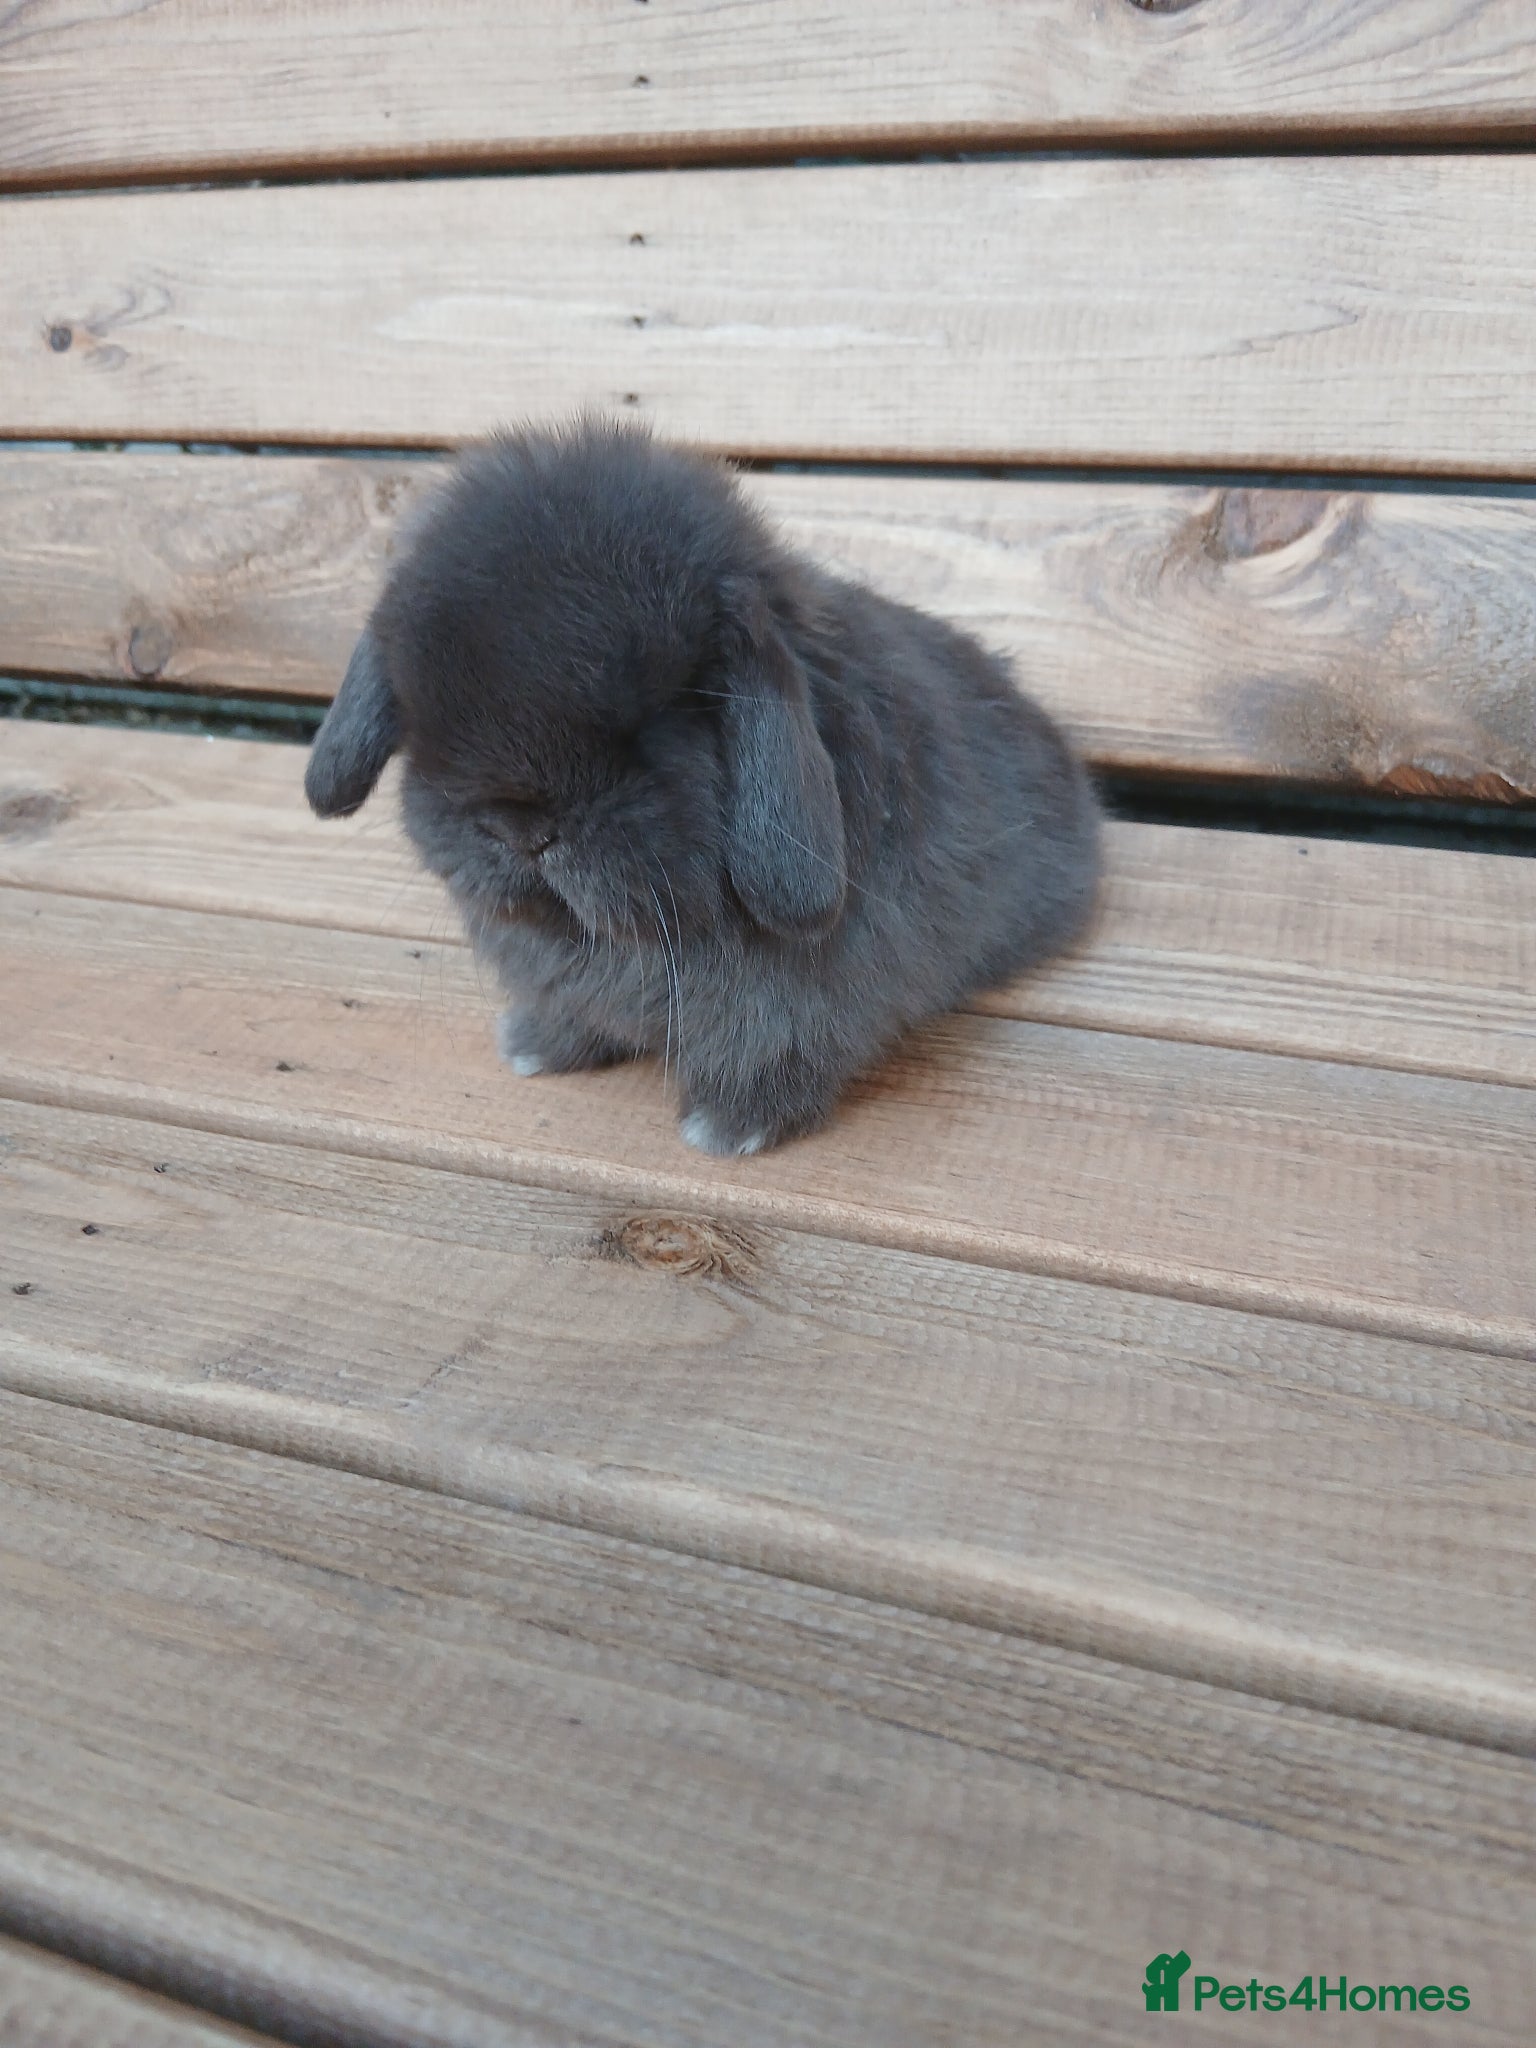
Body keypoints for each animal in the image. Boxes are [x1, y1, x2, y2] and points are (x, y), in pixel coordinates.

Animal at [304, 417, 1102, 1154]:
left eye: (661, 713)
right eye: (424, 708)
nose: (518, 828)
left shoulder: (796, 1005)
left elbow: (776, 1048)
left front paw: (728, 1126)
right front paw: (537, 1047)